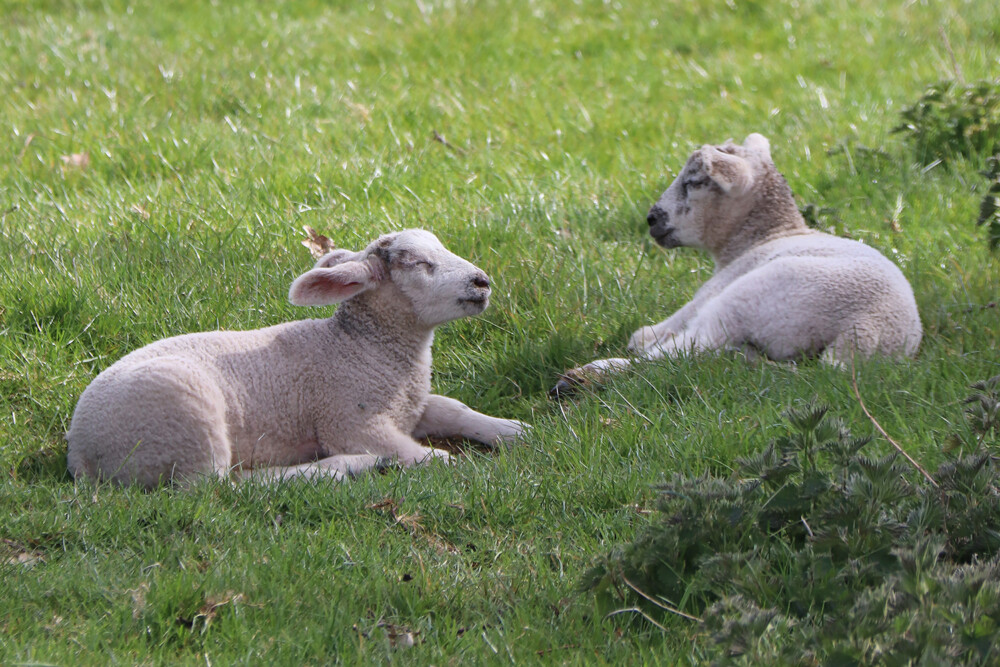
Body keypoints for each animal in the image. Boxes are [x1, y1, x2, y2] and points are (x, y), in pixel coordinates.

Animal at [67, 229, 530, 488]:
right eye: (418, 264)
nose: (482, 282)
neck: (360, 348)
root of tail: (81, 453)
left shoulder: (409, 406)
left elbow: (454, 408)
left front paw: (510, 429)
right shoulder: (350, 421)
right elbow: (427, 457)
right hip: (184, 418)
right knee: (216, 487)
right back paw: (342, 467)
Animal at [553, 133, 921, 394]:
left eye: (694, 181)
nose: (651, 218)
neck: (765, 236)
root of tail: (864, 330)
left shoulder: (711, 291)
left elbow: (659, 331)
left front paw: (643, 336)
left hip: (749, 299)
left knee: (683, 352)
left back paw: (587, 376)